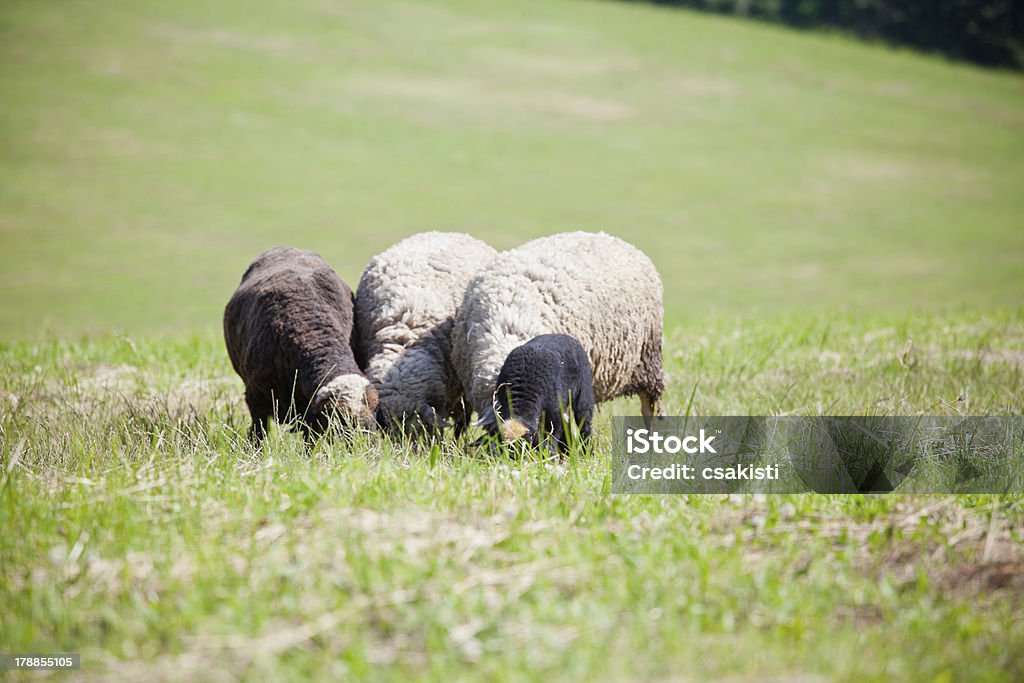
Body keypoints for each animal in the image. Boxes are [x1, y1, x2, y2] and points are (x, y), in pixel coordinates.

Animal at [222, 245, 378, 444]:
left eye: (374, 411)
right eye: (341, 419)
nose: (366, 446)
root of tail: (284, 247)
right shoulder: (255, 397)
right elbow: (258, 432)